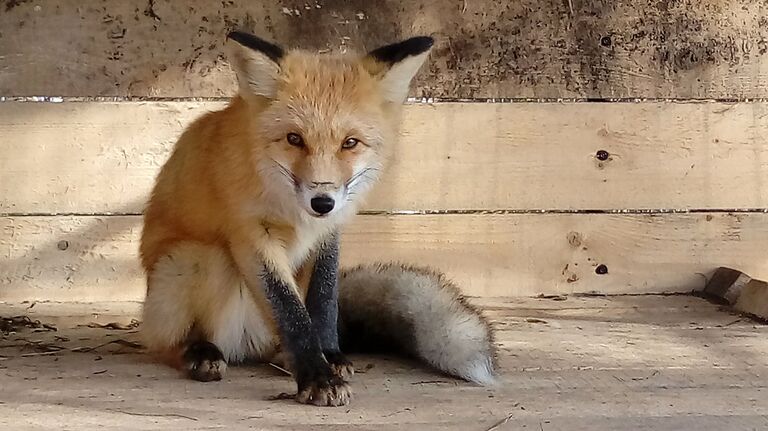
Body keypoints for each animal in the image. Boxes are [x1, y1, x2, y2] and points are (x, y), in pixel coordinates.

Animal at [140, 32, 496, 406]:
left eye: (350, 143)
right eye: (294, 139)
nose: (322, 201)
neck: (294, 212)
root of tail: (245, 343)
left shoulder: (330, 232)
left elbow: (323, 300)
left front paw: (329, 355)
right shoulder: (251, 234)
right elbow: (290, 311)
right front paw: (317, 377)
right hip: (195, 257)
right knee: (169, 341)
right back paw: (199, 352)